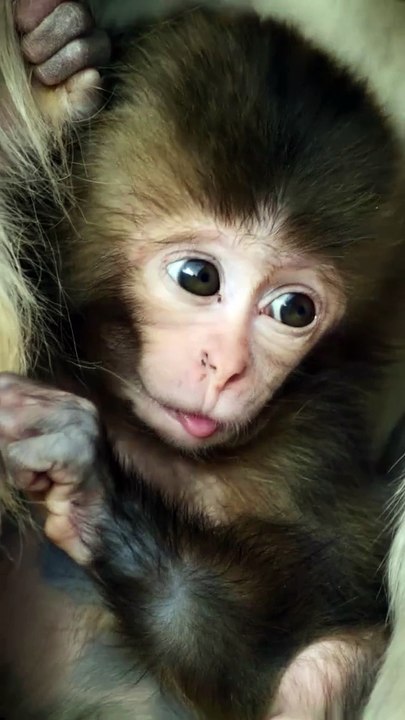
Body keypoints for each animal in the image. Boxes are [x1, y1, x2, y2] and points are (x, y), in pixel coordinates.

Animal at [0, 5, 405, 719]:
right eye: (198, 277)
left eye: (294, 310)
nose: (228, 367)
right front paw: (46, 72)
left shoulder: (316, 451)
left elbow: (274, 646)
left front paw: (92, 492)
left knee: (328, 664)